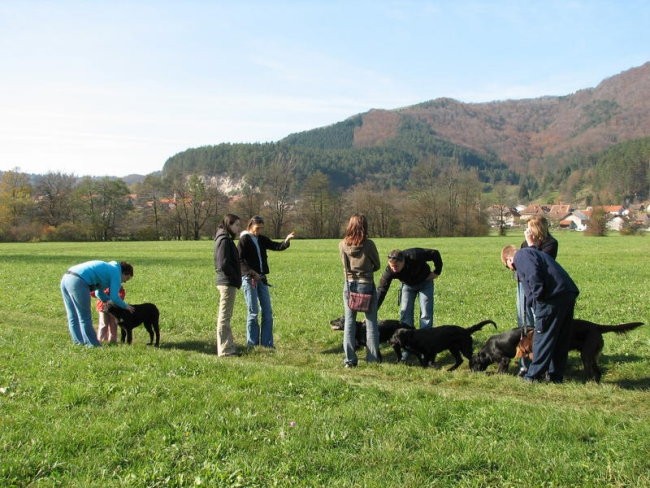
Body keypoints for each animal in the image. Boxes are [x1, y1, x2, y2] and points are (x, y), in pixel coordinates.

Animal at [468, 320, 640, 382]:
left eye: (473, 365)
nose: (472, 372)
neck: (488, 349)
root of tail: (597, 326)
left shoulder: (503, 358)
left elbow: (500, 368)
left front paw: (496, 375)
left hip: (586, 354)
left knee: (590, 371)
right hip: (591, 354)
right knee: (597, 372)